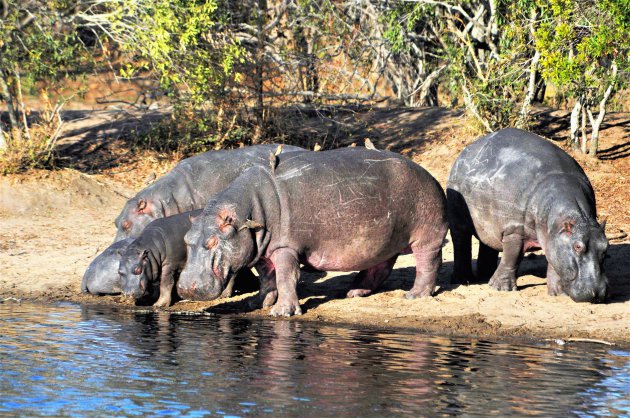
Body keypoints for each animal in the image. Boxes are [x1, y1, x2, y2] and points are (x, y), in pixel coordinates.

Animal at [175, 149, 446, 316]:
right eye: (187, 239)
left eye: (212, 241)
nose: (186, 288)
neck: (248, 210)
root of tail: (429, 175)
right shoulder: (264, 251)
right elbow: (267, 279)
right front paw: (258, 302)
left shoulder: (286, 248)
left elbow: (286, 278)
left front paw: (282, 312)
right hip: (385, 239)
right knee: (380, 266)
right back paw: (353, 293)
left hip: (427, 234)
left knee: (428, 264)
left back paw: (414, 296)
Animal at [446, 126, 608, 300]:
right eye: (578, 247)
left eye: (606, 247)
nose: (597, 292)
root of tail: (466, 150)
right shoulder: (514, 231)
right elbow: (512, 257)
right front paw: (501, 289)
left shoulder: (553, 238)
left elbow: (555, 264)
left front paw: (558, 294)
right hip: (458, 219)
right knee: (461, 242)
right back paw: (463, 280)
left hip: (489, 222)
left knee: (488, 243)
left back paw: (485, 276)